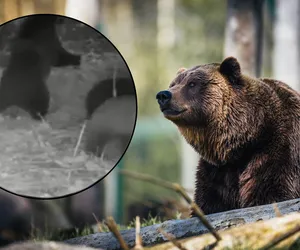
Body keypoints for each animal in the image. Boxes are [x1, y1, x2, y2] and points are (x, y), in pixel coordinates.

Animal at [157, 57, 300, 215]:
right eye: (173, 84)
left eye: (192, 83)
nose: (163, 95)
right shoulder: (217, 171)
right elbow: (208, 202)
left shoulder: (278, 150)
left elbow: (270, 193)